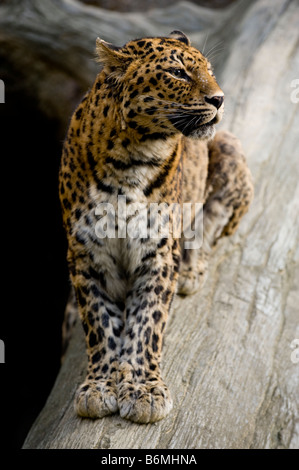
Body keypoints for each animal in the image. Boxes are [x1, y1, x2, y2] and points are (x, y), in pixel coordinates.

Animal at [59, 31, 254, 424]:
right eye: (178, 73)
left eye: (210, 72)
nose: (220, 98)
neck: (131, 159)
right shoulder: (86, 254)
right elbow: (98, 323)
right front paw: (99, 386)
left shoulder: (158, 253)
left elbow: (147, 322)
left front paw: (144, 389)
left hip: (227, 147)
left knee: (209, 226)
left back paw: (190, 272)